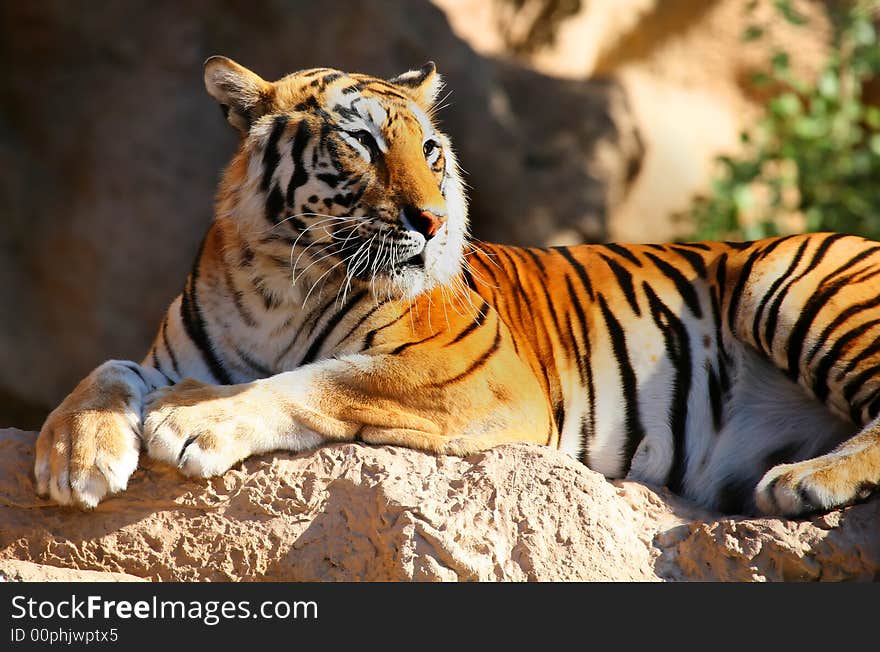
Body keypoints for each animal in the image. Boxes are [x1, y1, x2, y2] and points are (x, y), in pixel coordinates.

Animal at [34, 56, 880, 516]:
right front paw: (73, 455)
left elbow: (323, 377)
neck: (281, 280)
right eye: (361, 143)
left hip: (793, 282)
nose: (435, 219)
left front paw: (191, 419)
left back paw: (805, 481)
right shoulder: (173, 353)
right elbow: (109, 368)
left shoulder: (479, 376)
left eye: (432, 150)